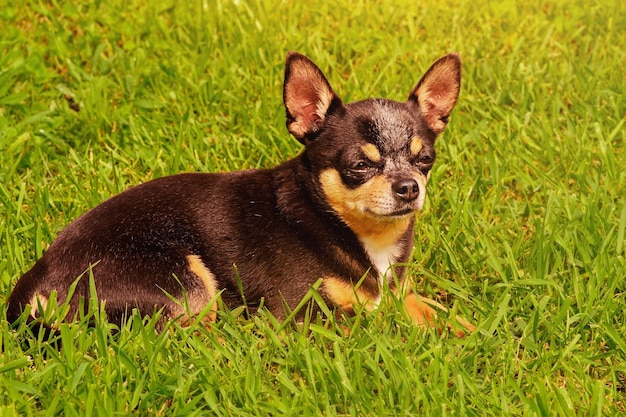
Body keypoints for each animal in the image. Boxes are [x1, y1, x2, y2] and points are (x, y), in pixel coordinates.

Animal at [7, 51, 472, 334]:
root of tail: (32, 284)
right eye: (359, 166)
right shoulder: (305, 316)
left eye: (424, 160)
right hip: (187, 282)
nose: (409, 187)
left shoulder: (396, 289)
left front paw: (470, 330)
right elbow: (378, 320)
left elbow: (429, 307)